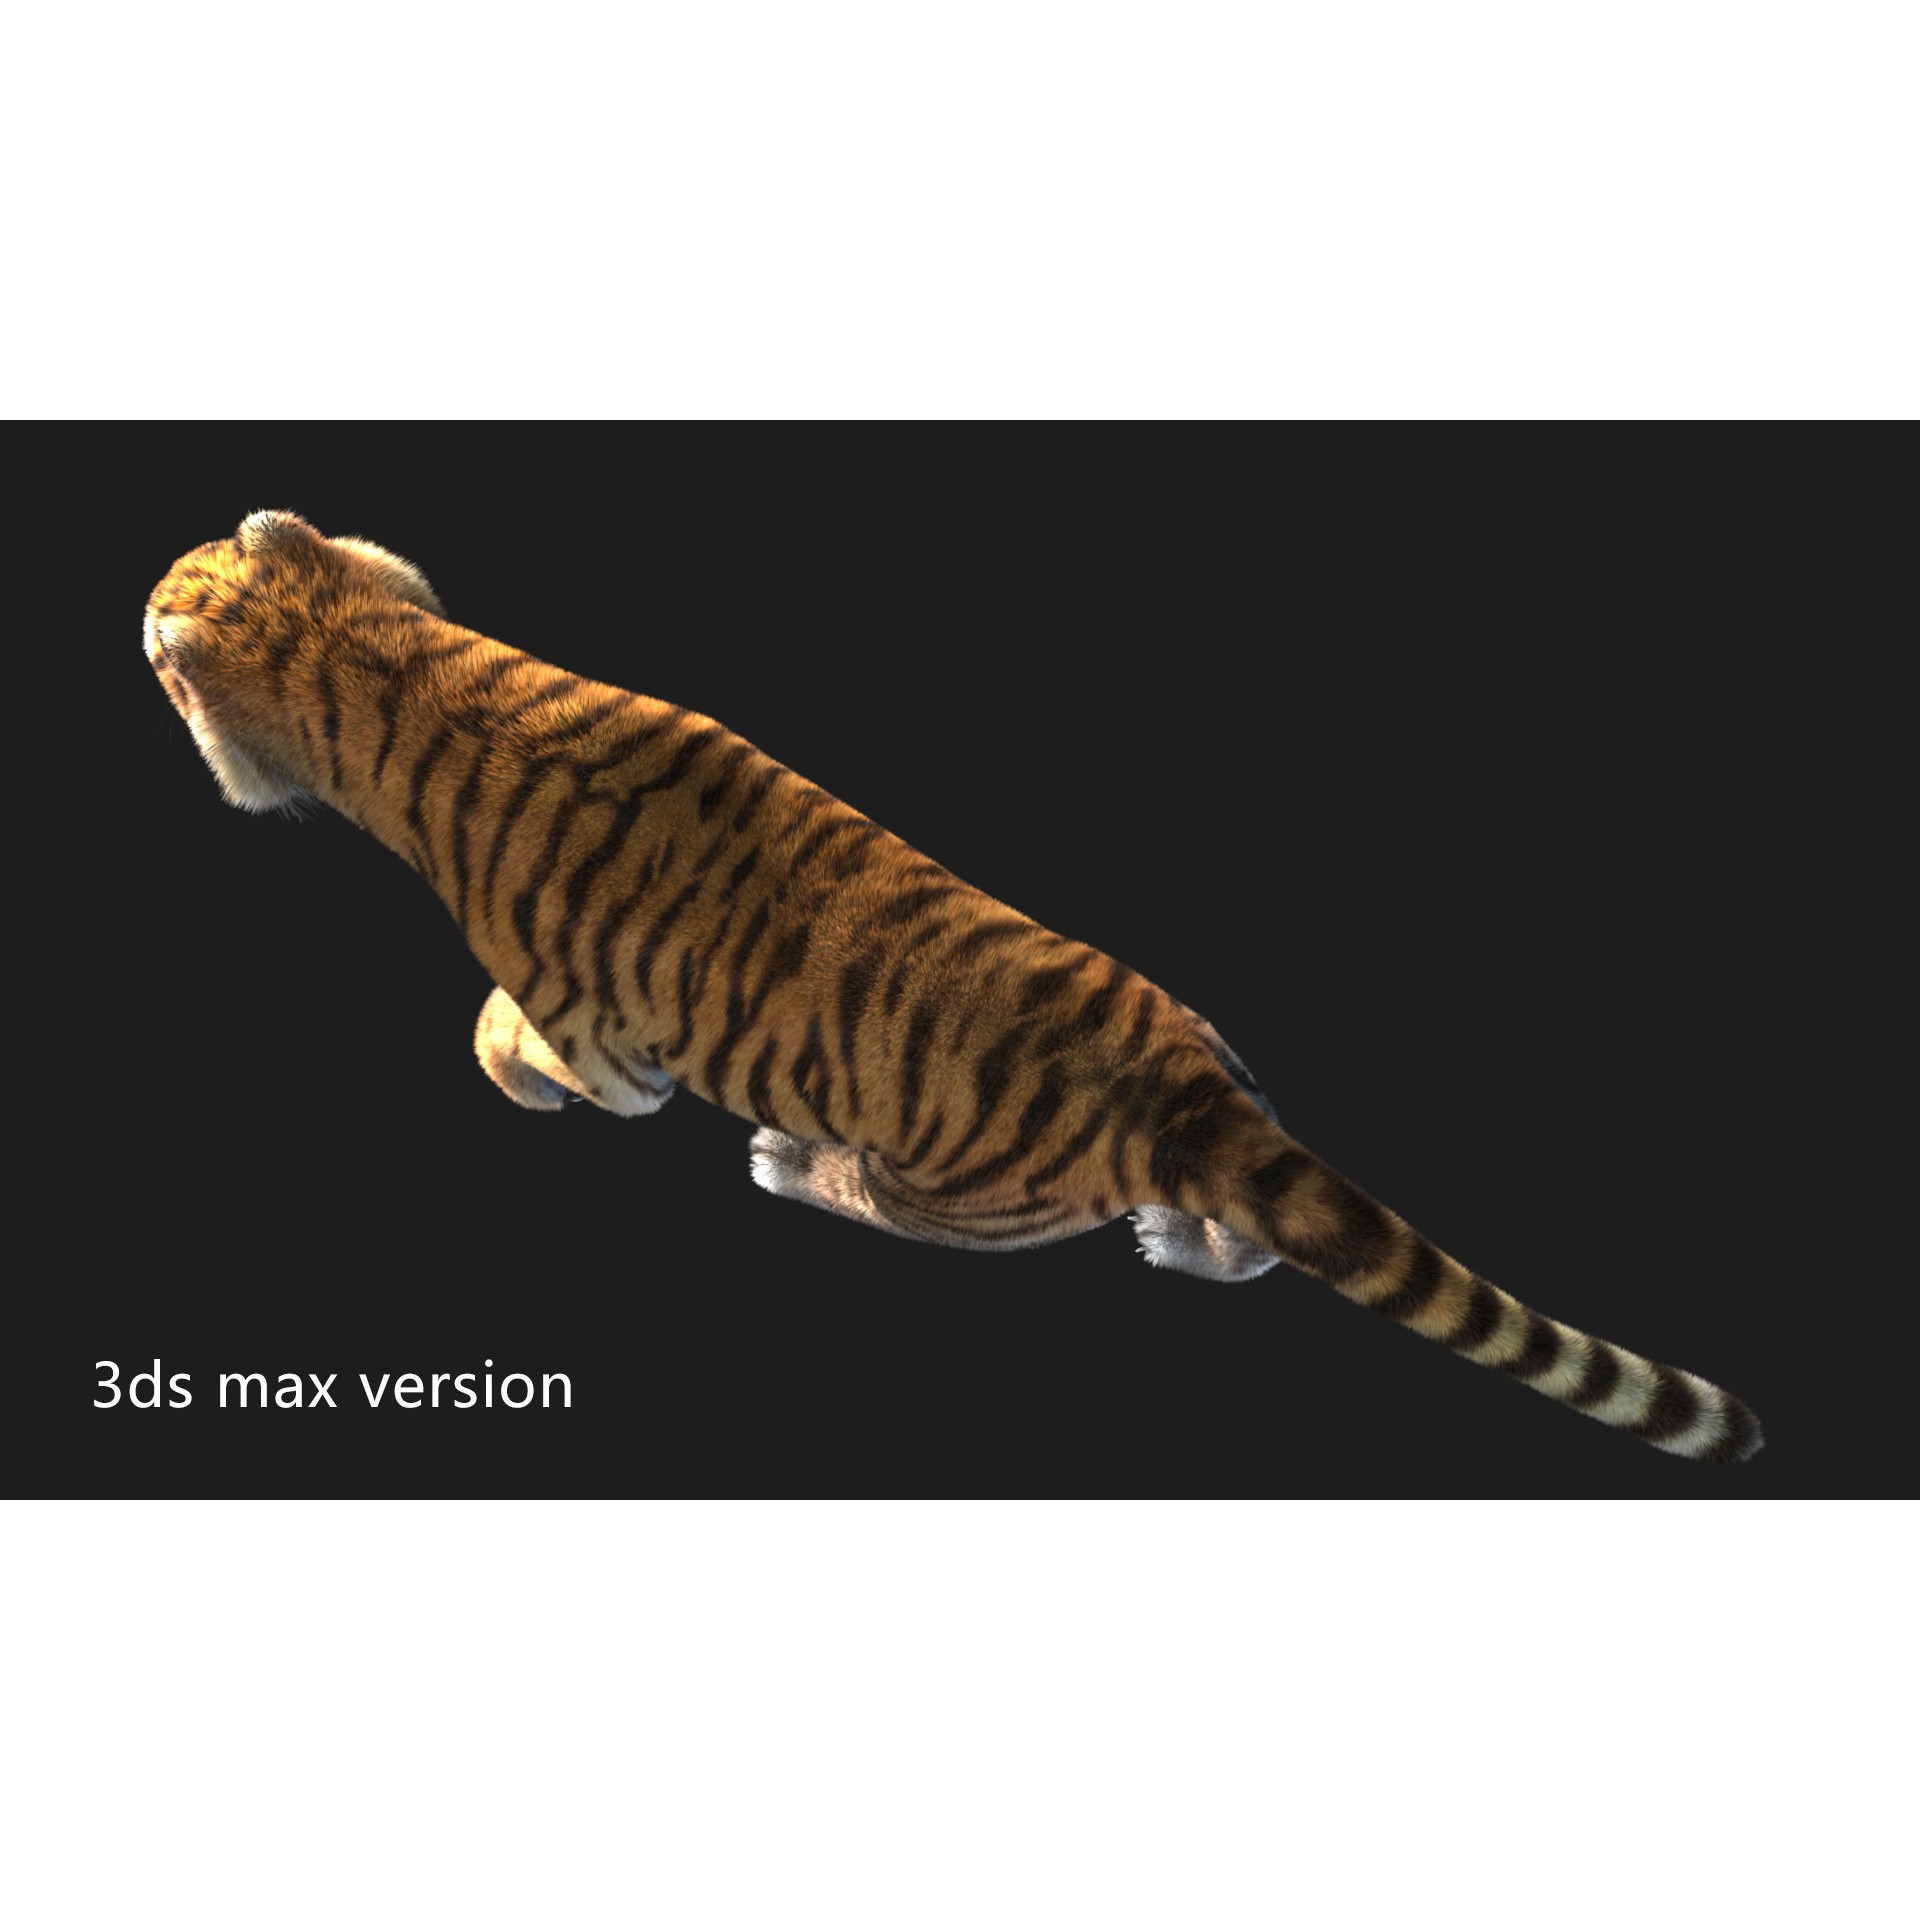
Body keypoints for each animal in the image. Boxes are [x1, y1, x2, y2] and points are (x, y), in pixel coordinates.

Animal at [143, 509, 1763, 1464]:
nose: (149, 587)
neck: (375, 657)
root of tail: (1178, 1100)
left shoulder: (601, 1038)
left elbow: (526, 1044)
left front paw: (505, 1068)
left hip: (943, 1189)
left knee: (883, 1204)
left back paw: (794, 1164)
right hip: (1218, 1056)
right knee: (1248, 1230)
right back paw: (1193, 1241)